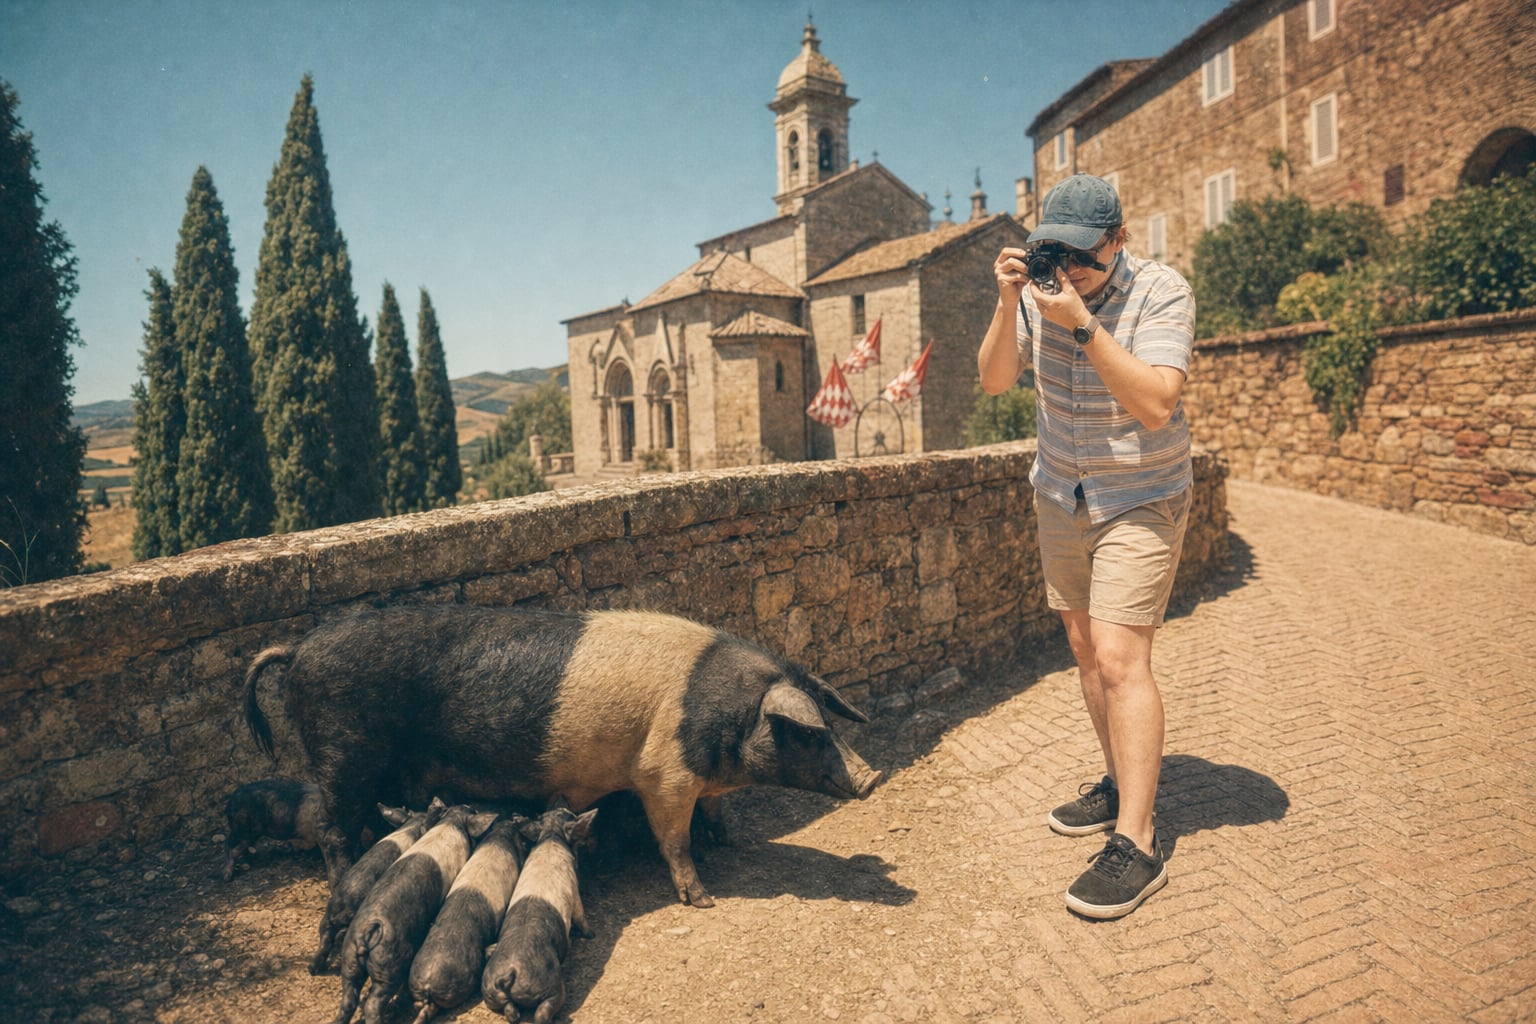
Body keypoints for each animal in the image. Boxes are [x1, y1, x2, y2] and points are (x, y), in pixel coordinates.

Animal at [243, 605, 883, 908]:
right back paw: (340, 878)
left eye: (828, 723)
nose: (873, 777)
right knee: (331, 828)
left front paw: (732, 842)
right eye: (807, 733)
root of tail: (296, 648)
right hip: (341, 754)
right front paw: (702, 898)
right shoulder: (662, 774)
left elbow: (716, 812)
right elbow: (673, 839)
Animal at [330, 803, 499, 1024]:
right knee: (373, 1002)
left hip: (350, 956)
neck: (452, 822)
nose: (470, 805)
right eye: (473, 811)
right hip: (389, 963)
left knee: (348, 997)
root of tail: (370, 928)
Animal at [480, 806, 597, 1024]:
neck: (551, 836)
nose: (563, 806)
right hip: (550, 987)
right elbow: (580, 913)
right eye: (571, 816)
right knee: (544, 1010)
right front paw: (591, 934)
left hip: (489, 988)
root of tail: (510, 972)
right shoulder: (574, 889)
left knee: (509, 1009)